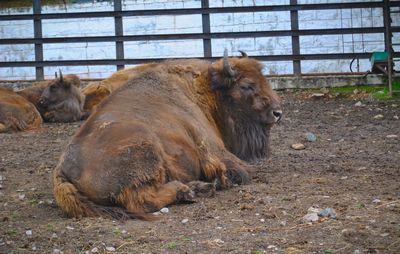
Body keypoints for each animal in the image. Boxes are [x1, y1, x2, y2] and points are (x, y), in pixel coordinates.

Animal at [53, 50, 282, 220]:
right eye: (247, 85)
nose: (277, 112)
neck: (204, 89)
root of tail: (62, 170)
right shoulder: (215, 150)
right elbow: (243, 171)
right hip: (144, 146)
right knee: (142, 200)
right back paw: (189, 190)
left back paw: (197, 187)